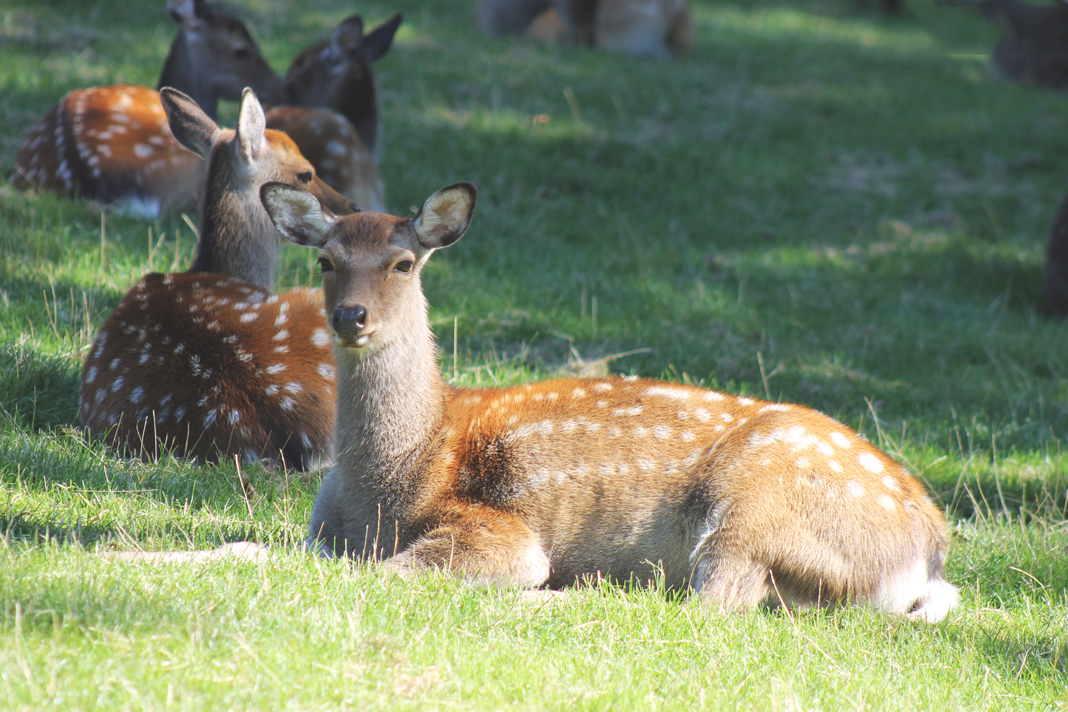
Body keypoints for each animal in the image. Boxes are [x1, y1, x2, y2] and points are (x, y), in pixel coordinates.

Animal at [254, 182, 965, 623]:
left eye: (402, 263)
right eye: (324, 261)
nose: (351, 316)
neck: (388, 478)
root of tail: (930, 551)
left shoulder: (500, 531)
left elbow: (387, 570)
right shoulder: (320, 534)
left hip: (757, 507)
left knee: (708, 604)